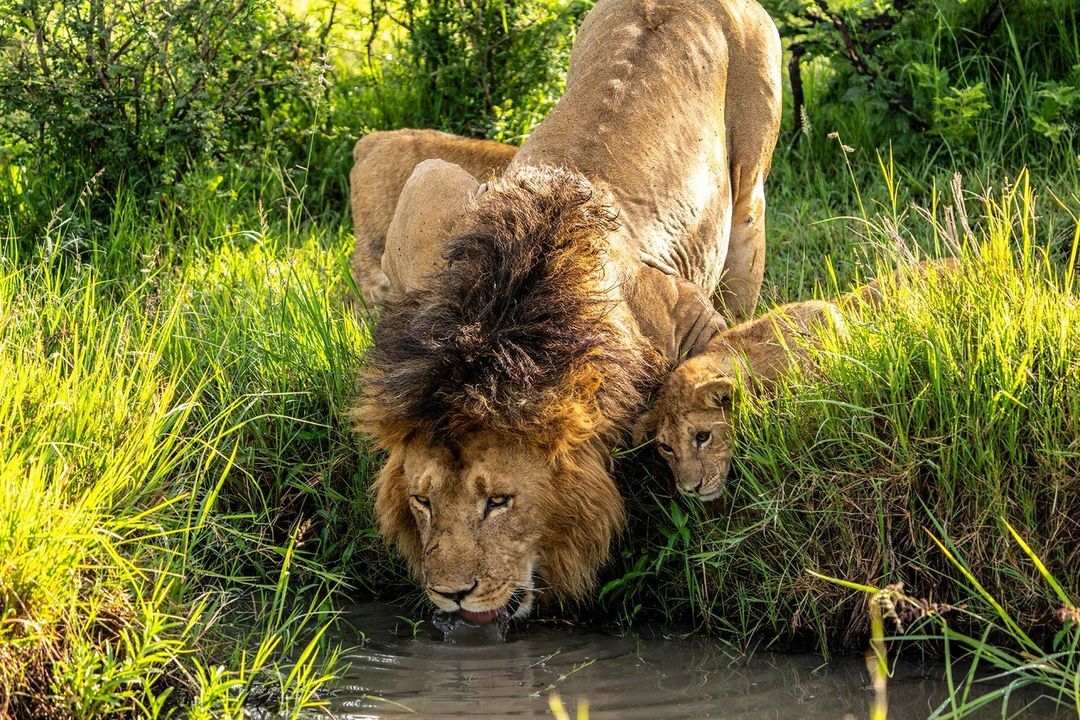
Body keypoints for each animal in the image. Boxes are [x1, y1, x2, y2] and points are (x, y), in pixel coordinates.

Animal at [358, 0, 781, 621]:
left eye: (499, 501)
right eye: (422, 501)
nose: (452, 594)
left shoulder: (691, 316)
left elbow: (701, 396)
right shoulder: (429, 191)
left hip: (750, 190)